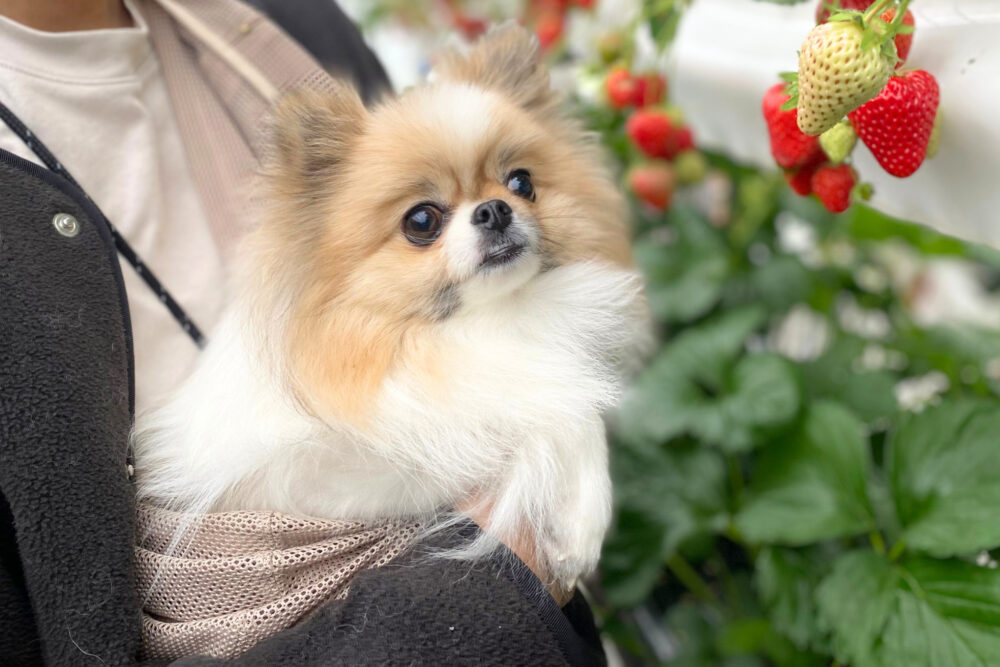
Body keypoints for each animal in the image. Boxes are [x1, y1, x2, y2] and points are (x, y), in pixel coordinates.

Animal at [131, 23, 648, 588]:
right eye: (421, 221)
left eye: (522, 182)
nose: (495, 209)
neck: (478, 324)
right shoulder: (313, 479)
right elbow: (549, 412)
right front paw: (580, 524)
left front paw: (581, 523)